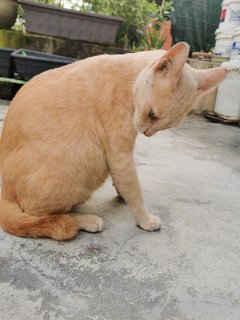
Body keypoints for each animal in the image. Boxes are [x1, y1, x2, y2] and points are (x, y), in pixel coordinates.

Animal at [0, 42, 228, 240]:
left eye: (166, 126)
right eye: (152, 115)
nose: (147, 133)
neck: (128, 78)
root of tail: (4, 189)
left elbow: (124, 184)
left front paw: (121, 195)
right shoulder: (119, 155)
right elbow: (134, 190)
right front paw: (145, 219)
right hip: (85, 157)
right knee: (40, 214)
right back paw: (86, 220)